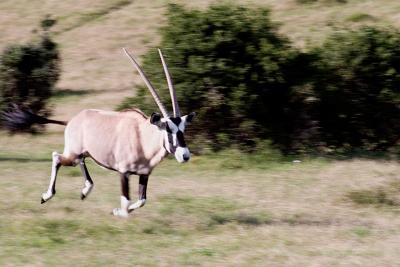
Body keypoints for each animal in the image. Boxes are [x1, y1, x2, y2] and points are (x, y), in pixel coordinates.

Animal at [2, 49, 196, 219]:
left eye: (183, 129)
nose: (185, 155)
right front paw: (117, 212)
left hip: (81, 153)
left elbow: (141, 201)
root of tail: (72, 120)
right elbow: (126, 204)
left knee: (80, 161)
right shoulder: (124, 172)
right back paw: (46, 196)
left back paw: (85, 190)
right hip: (71, 153)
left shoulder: (144, 174)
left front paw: (119, 210)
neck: (143, 137)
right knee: (57, 157)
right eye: (168, 129)